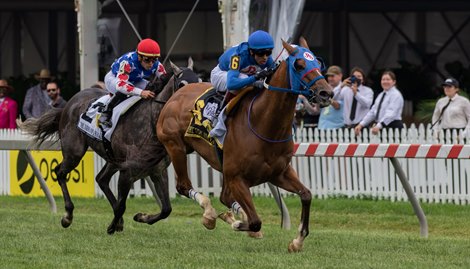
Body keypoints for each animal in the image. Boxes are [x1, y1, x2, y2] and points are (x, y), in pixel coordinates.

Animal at [20, 59, 198, 233]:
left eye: (200, 82)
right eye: (182, 85)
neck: (150, 124)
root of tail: (68, 104)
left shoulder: (157, 171)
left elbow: (166, 209)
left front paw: (140, 217)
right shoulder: (128, 172)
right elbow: (121, 206)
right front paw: (112, 226)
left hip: (113, 159)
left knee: (101, 179)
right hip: (74, 152)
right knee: (60, 172)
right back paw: (67, 216)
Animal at [158, 38, 334, 251]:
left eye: (317, 63)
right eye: (299, 65)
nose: (326, 93)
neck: (264, 124)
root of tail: (175, 95)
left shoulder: (279, 173)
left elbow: (306, 195)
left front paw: (297, 241)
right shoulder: (237, 178)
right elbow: (256, 221)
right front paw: (238, 223)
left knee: (224, 197)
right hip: (175, 146)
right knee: (184, 186)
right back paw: (210, 214)